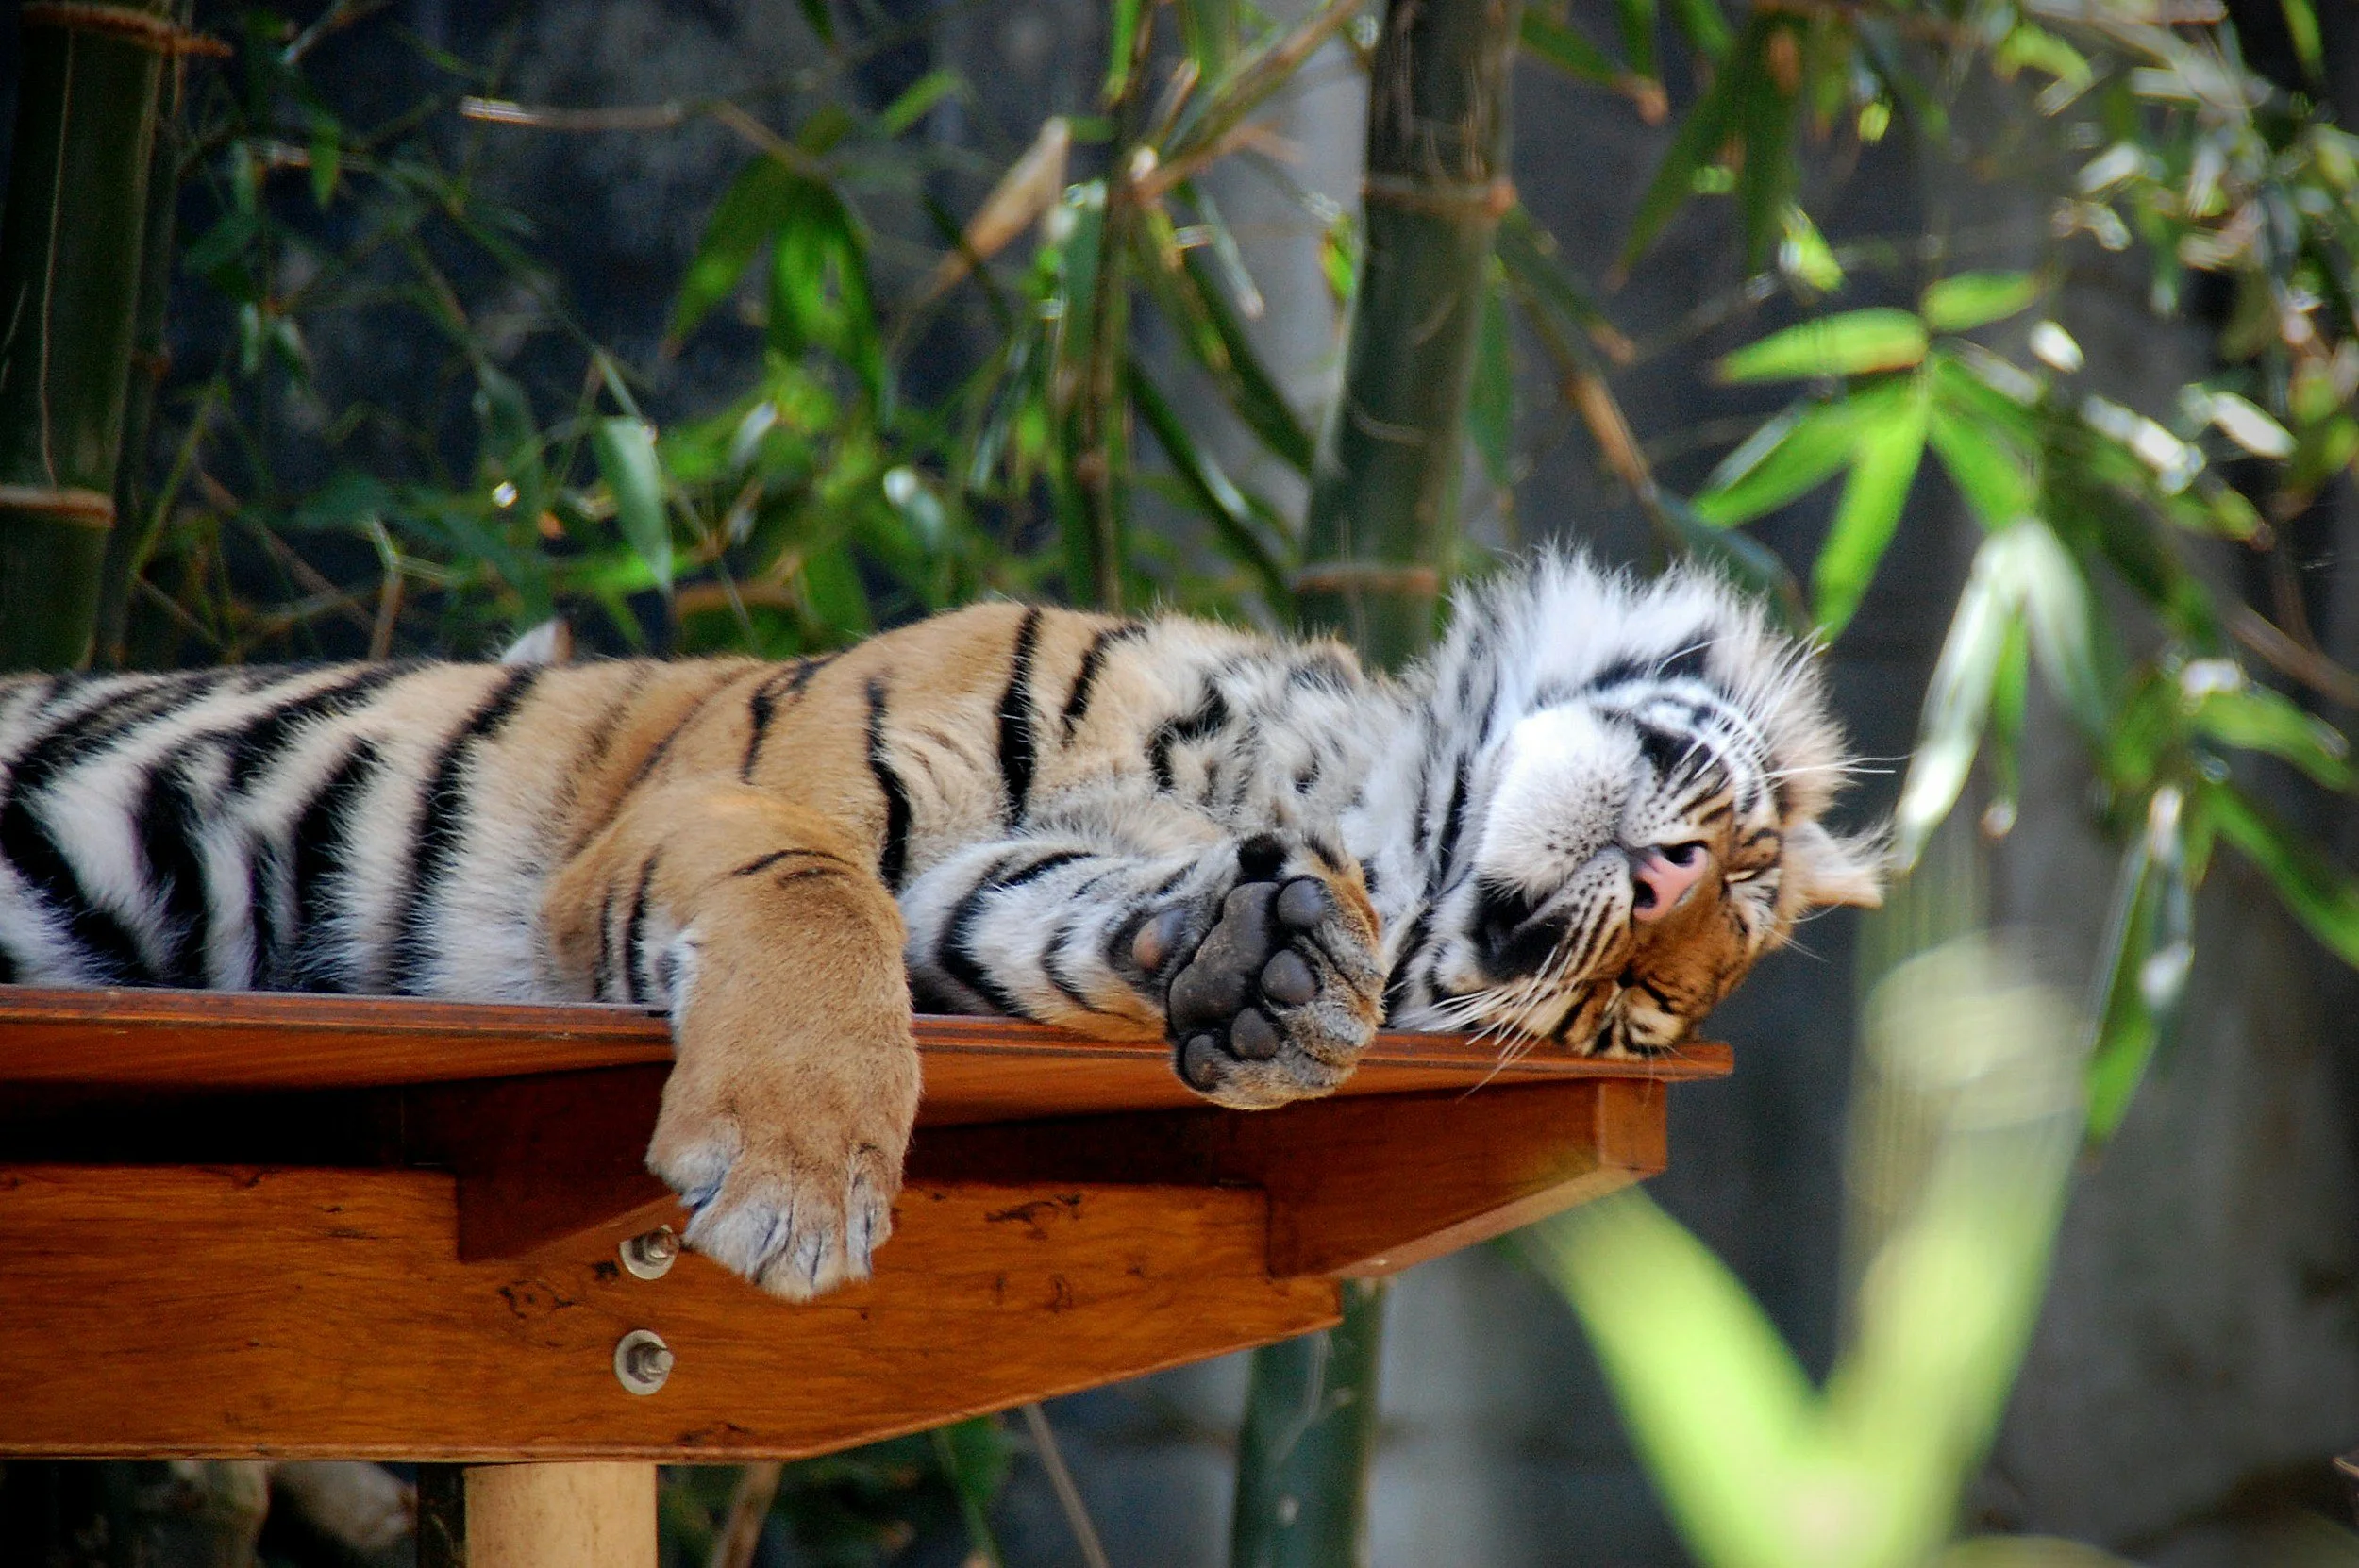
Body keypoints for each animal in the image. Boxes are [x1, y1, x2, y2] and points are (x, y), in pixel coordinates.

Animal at [0, 555, 1878, 1299]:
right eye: (1735, 856)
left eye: (1624, 1025)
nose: (1662, 898)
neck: (1314, 786)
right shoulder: (729, 799)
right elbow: (814, 895)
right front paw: (795, 1189)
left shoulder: (982, 902)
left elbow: (1050, 919)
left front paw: (1268, 973)